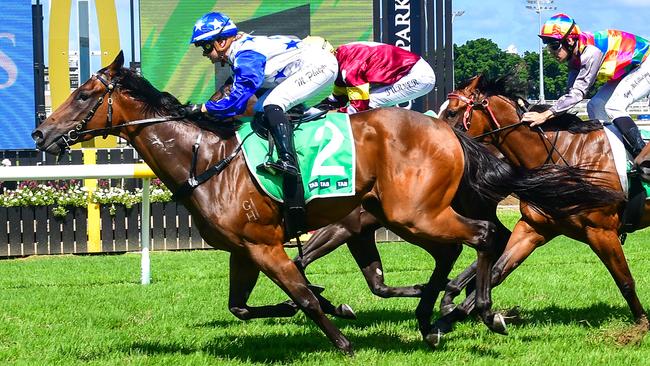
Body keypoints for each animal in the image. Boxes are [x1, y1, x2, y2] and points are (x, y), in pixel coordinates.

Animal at [31, 51, 624, 352]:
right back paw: (438, 314)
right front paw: (331, 303)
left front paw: (341, 338)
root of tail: (449, 131)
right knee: (464, 248)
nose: (40, 133)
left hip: (414, 214)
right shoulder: (244, 250)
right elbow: (246, 304)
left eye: (86, 93)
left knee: (484, 236)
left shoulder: (267, 243)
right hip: (406, 217)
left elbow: (302, 294)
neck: (208, 158)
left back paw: (476, 311)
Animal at [436, 72, 648, 344]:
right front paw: (445, 321)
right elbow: (497, 271)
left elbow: (626, 281)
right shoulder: (534, 228)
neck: (566, 159)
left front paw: (641, 325)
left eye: (452, 112)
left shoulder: (601, 231)